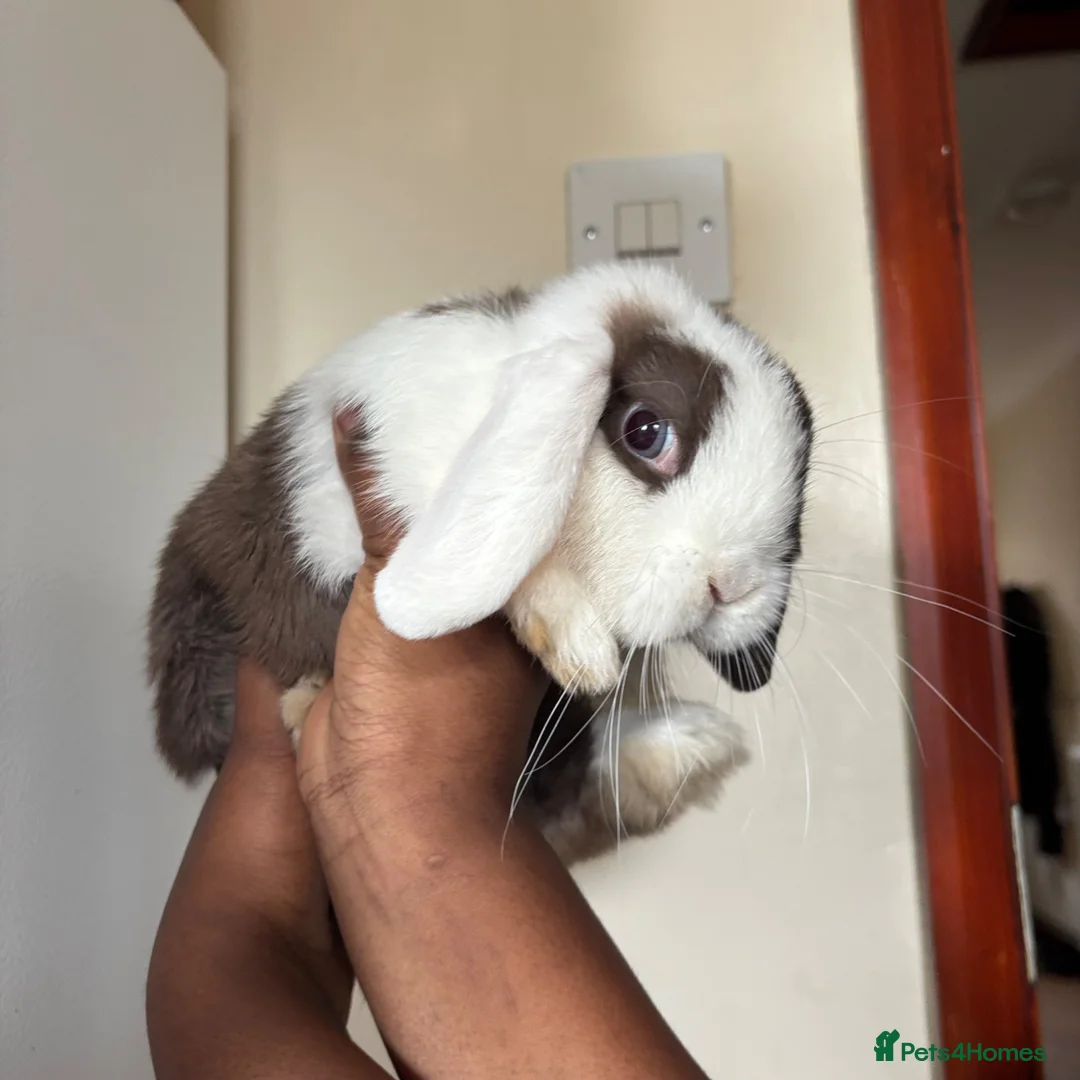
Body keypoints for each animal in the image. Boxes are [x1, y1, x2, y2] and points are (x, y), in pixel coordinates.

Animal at [148, 260, 813, 864]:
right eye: (646, 430)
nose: (730, 585)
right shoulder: (386, 474)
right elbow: (523, 551)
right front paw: (577, 643)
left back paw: (691, 749)